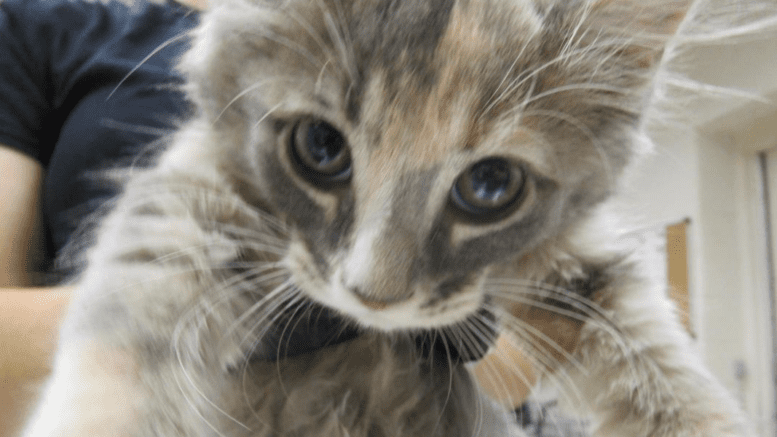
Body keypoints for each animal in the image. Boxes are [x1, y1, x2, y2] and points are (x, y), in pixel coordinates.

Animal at [24, 0, 752, 436]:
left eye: (491, 185)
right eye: (321, 148)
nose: (373, 295)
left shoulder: (579, 263)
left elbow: (670, 373)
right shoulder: (186, 203)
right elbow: (116, 363)